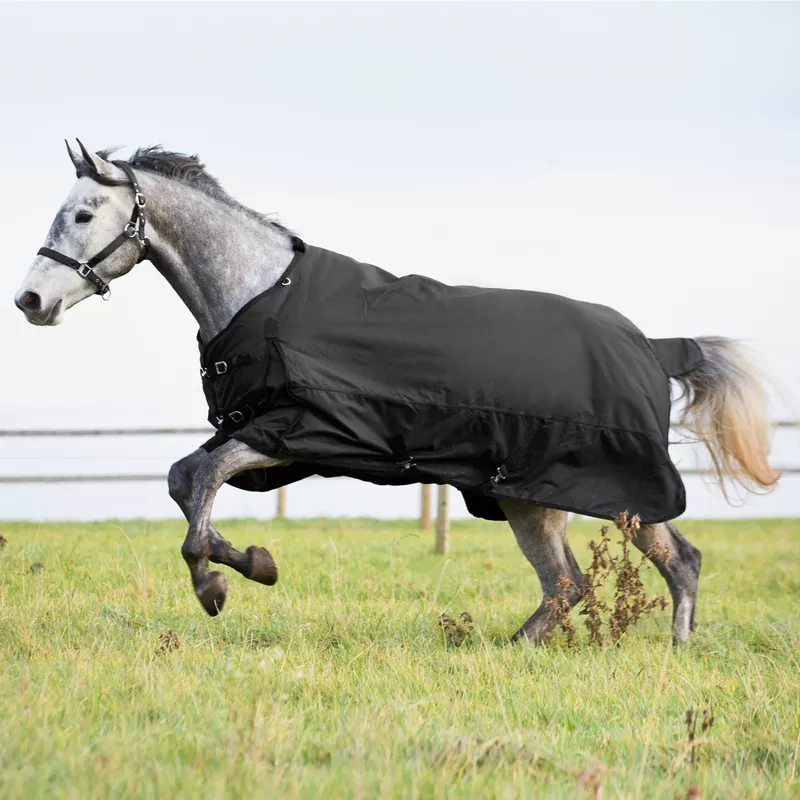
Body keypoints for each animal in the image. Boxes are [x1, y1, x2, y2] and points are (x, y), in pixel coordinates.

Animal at [14, 141, 780, 645]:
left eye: (82, 214)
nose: (30, 301)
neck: (261, 293)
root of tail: (653, 345)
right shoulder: (263, 432)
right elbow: (183, 477)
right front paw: (251, 563)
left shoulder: (297, 431)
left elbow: (202, 479)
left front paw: (219, 584)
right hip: (539, 496)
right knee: (632, 570)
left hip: (576, 491)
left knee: (602, 576)